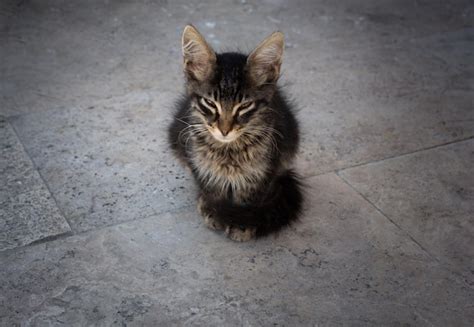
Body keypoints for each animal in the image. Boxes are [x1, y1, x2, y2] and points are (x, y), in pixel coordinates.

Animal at [168, 25, 302, 241]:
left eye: (245, 106)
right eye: (210, 103)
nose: (224, 130)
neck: (228, 150)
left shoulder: (261, 171)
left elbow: (249, 198)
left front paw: (241, 222)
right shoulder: (202, 163)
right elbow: (211, 186)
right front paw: (215, 209)